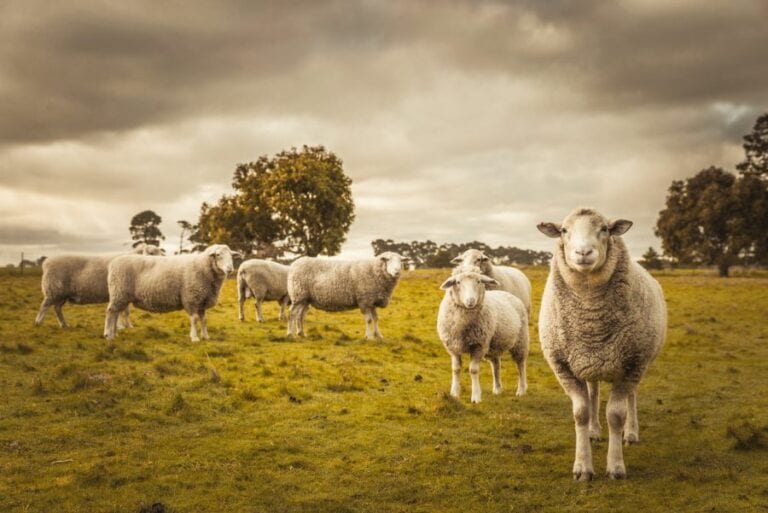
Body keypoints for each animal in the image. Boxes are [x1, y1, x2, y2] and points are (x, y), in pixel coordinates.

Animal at [34, 243, 165, 328]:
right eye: (151, 253)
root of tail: (46, 263)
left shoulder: (124, 293)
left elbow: (125, 312)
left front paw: (127, 326)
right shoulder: (120, 292)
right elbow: (121, 311)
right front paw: (121, 327)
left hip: (62, 294)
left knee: (57, 308)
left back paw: (64, 325)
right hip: (53, 289)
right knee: (44, 306)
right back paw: (38, 323)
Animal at [104, 244, 234, 342]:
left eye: (231, 255)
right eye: (218, 255)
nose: (230, 269)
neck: (203, 266)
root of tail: (113, 263)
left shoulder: (202, 301)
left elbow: (204, 320)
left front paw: (205, 336)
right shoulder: (191, 298)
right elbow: (194, 319)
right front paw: (194, 337)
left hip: (121, 296)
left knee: (115, 314)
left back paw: (114, 334)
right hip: (119, 292)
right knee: (110, 312)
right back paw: (108, 335)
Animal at [437, 271, 529, 403]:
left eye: (479, 281)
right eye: (458, 282)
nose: (471, 300)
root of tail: (508, 294)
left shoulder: (478, 346)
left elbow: (473, 370)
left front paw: (476, 396)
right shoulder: (454, 347)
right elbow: (456, 369)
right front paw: (454, 393)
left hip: (520, 341)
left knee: (520, 365)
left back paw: (521, 390)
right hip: (494, 345)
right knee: (496, 365)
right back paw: (497, 388)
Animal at [537, 208, 666, 481]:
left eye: (605, 229)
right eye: (564, 230)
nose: (583, 253)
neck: (591, 323)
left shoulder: (632, 363)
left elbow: (616, 415)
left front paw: (616, 466)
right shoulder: (564, 366)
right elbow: (581, 413)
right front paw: (582, 467)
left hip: (635, 362)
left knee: (631, 396)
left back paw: (631, 433)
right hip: (590, 362)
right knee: (594, 390)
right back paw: (594, 431)